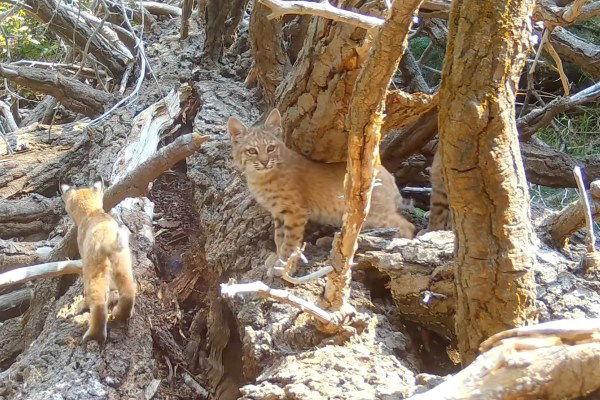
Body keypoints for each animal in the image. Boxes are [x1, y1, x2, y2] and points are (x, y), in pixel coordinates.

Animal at [60, 181, 136, 344]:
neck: (92, 212)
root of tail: (108, 237)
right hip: (122, 263)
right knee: (128, 292)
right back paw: (121, 315)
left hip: (95, 268)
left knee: (99, 305)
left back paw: (93, 335)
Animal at [227, 108, 414, 262]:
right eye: (252, 151)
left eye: (271, 148)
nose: (265, 162)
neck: (261, 175)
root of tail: (386, 171)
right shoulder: (278, 211)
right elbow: (279, 237)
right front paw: (277, 257)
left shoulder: (295, 211)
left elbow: (290, 240)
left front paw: (283, 263)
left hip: (374, 212)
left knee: (407, 226)